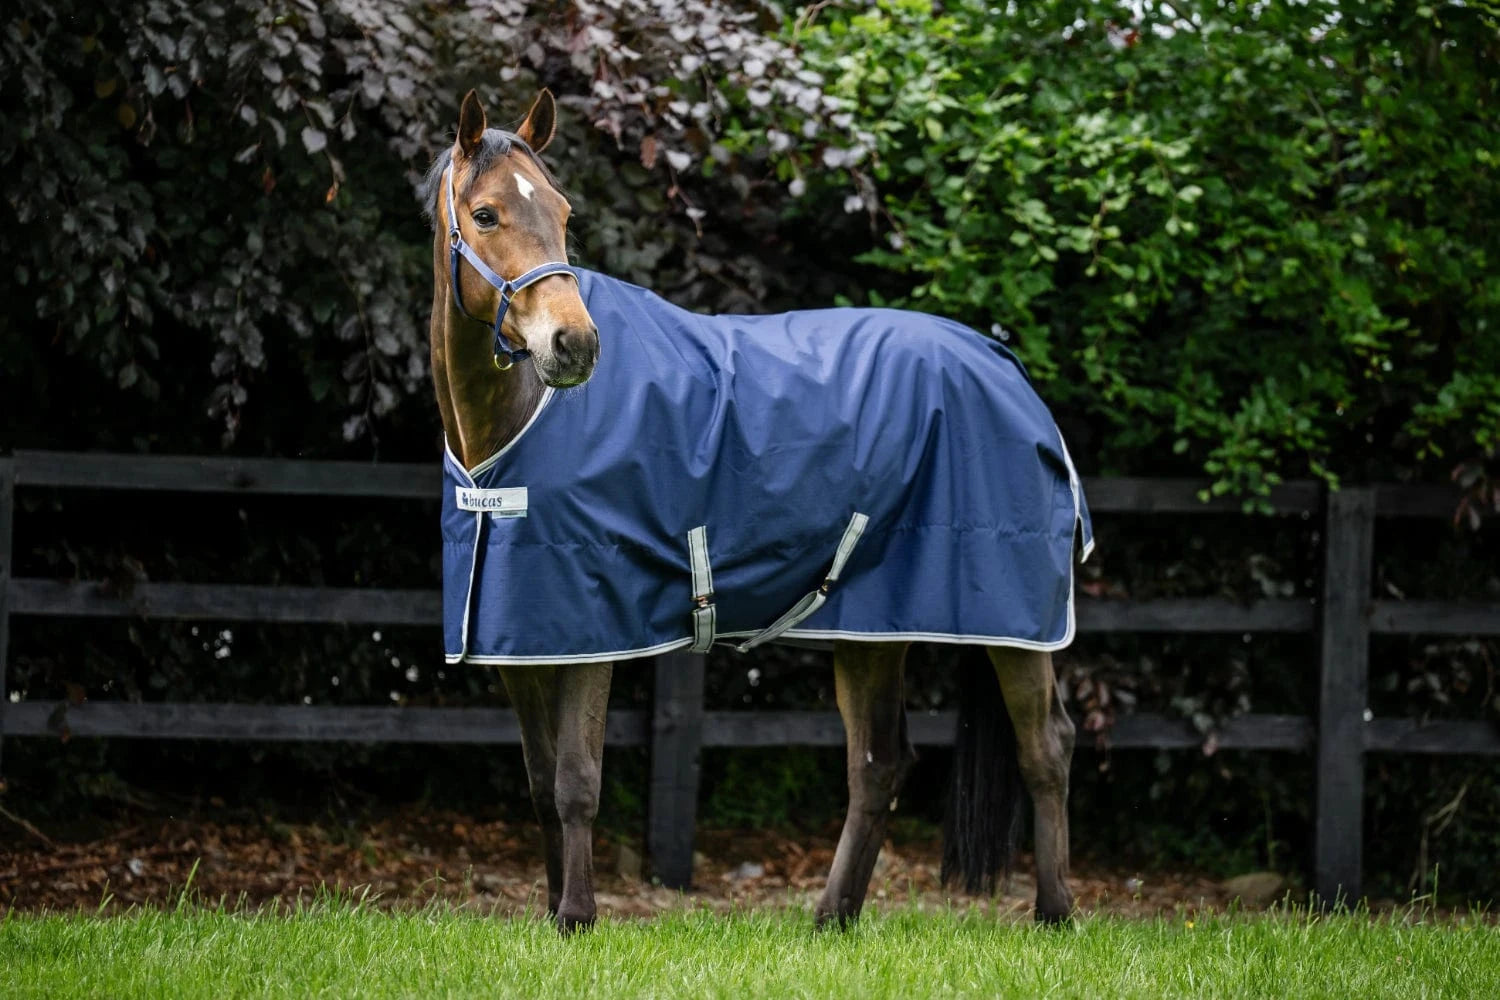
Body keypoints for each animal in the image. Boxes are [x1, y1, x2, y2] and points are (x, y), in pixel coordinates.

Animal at [422, 88, 1089, 933]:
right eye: (484, 215)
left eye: (564, 212)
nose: (574, 345)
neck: (514, 426)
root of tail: (1009, 371)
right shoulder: (520, 640)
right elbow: (542, 785)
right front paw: (552, 915)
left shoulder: (593, 630)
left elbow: (575, 782)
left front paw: (576, 917)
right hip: (871, 628)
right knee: (879, 763)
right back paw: (833, 917)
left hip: (1014, 625)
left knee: (1047, 747)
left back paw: (1054, 912)